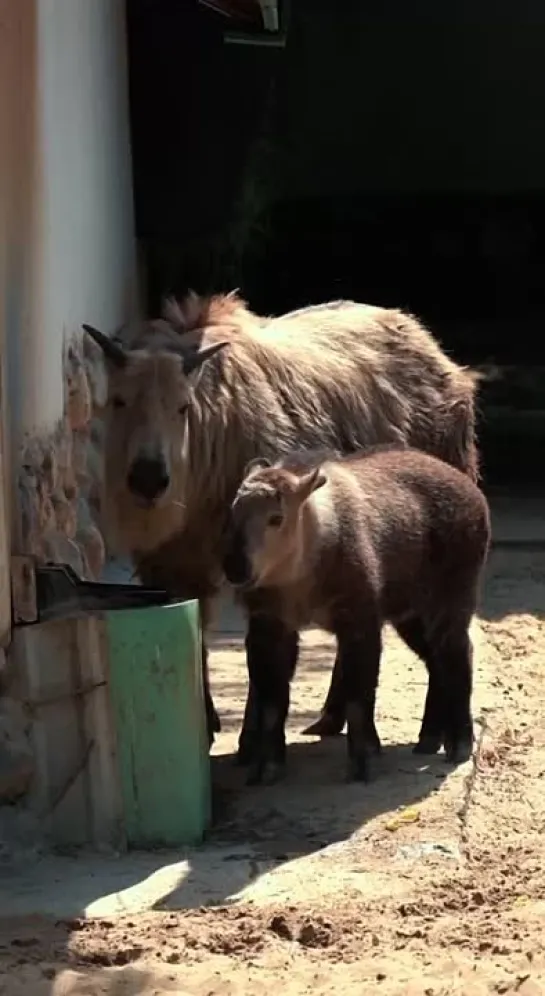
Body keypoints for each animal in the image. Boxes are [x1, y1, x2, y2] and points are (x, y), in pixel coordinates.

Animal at [223, 446, 490, 784]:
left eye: (276, 518)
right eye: (233, 513)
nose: (235, 568)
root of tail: (473, 490)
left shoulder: (360, 621)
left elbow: (358, 697)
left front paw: (362, 762)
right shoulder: (270, 626)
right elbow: (272, 701)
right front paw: (267, 766)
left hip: (451, 600)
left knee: (457, 655)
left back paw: (460, 742)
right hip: (410, 615)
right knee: (437, 661)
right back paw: (430, 737)